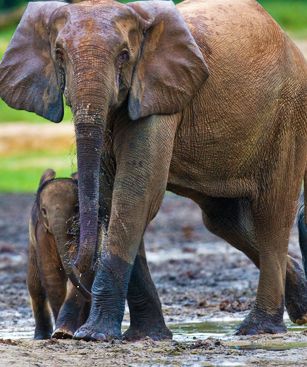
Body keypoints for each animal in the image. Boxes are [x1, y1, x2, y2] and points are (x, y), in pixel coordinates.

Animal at [27, 169, 90, 340]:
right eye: (43, 211)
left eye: (77, 208)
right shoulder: (42, 232)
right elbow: (51, 273)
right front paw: (60, 334)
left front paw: (64, 332)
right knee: (35, 287)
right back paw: (41, 337)